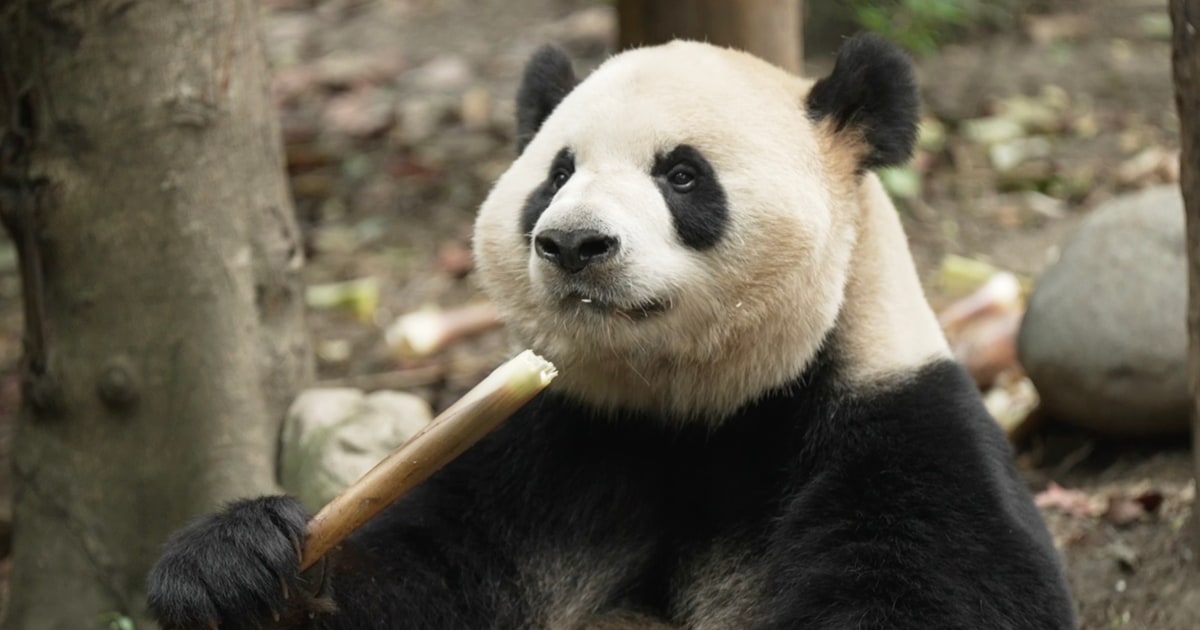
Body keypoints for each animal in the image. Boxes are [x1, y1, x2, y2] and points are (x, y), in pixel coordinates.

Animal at [147, 34, 1076, 629]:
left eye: (682, 174)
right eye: (556, 174)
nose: (572, 244)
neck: (692, 408)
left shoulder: (895, 425)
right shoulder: (554, 451)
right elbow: (414, 575)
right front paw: (229, 566)